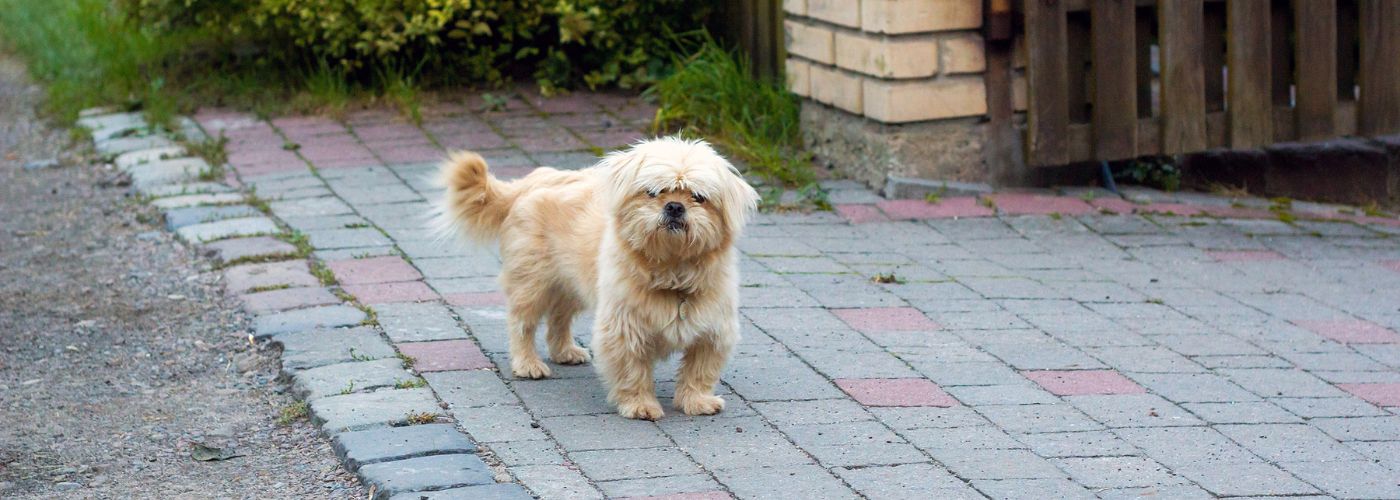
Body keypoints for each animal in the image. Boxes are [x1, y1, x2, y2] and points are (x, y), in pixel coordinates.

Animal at [436, 135, 767, 417]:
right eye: (653, 193)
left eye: (699, 197)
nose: (675, 206)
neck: (672, 270)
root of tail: (532, 180)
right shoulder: (623, 330)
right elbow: (633, 372)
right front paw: (639, 405)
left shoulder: (713, 332)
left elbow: (699, 372)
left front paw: (696, 402)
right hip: (532, 283)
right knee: (522, 324)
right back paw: (528, 363)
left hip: (571, 285)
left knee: (558, 320)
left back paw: (564, 351)